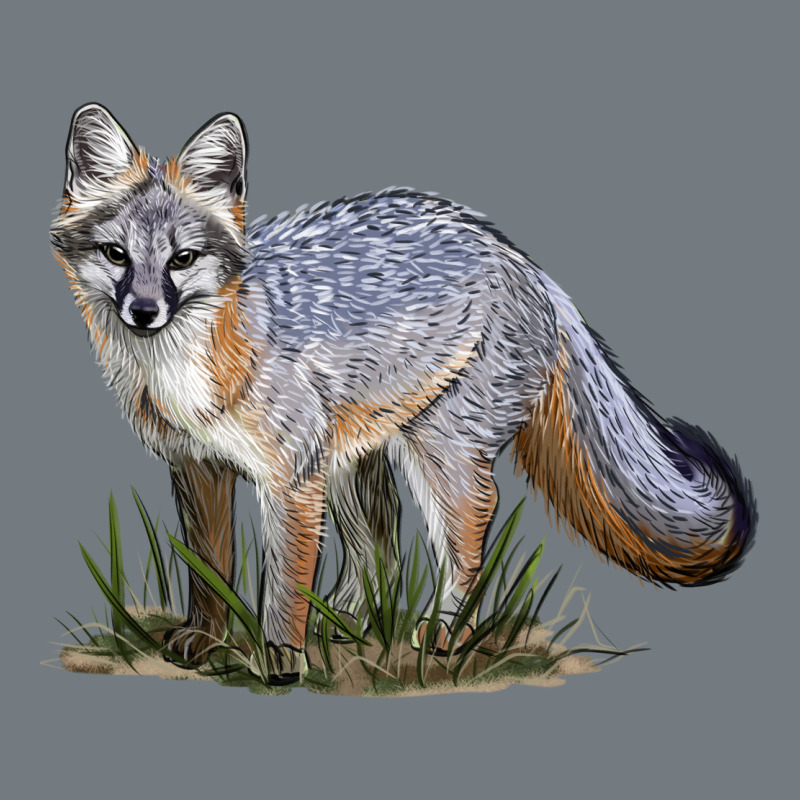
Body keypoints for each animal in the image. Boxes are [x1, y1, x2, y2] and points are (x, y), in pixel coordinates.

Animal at [51, 104, 756, 685]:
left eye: (183, 259)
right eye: (116, 255)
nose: (144, 311)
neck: (188, 372)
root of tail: (516, 255)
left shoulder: (289, 478)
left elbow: (283, 584)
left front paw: (280, 657)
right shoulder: (199, 466)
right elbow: (209, 567)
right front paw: (206, 638)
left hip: (435, 452)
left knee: (469, 528)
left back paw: (443, 631)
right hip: (352, 459)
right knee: (379, 548)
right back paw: (348, 619)